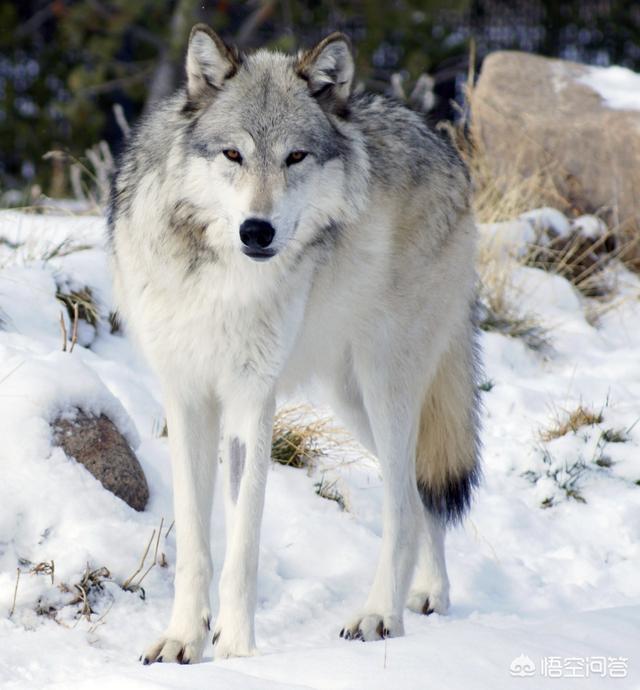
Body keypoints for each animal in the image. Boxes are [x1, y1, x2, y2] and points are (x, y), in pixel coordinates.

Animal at [110, 24, 480, 664]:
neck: (221, 279)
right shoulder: (187, 397)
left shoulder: (252, 400)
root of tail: (444, 147)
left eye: (295, 157)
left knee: (403, 505)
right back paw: (429, 594)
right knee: (417, 495)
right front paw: (184, 640)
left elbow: (242, 545)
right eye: (233, 155)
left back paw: (379, 615)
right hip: (352, 397)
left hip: (386, 385)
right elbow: (197, 542)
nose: (257, 230)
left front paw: (237, 653)